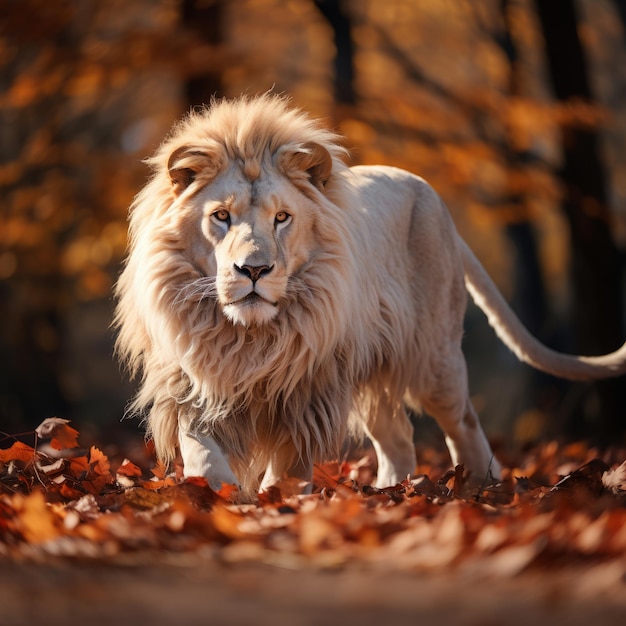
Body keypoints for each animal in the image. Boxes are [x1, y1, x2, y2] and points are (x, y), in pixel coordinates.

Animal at [114, 92, 624, 500]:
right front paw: (216, 494)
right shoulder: (188, 378)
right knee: (397, 438)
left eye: (282, 218)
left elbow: (291, 459)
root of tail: (435, 200)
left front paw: (280, 497)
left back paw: (480, 489)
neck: (248, 335)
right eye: (221, 216)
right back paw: (390, 491)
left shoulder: (307, 388)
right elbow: (200, 447)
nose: (254, 270)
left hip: (434, 359)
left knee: (465, 422)